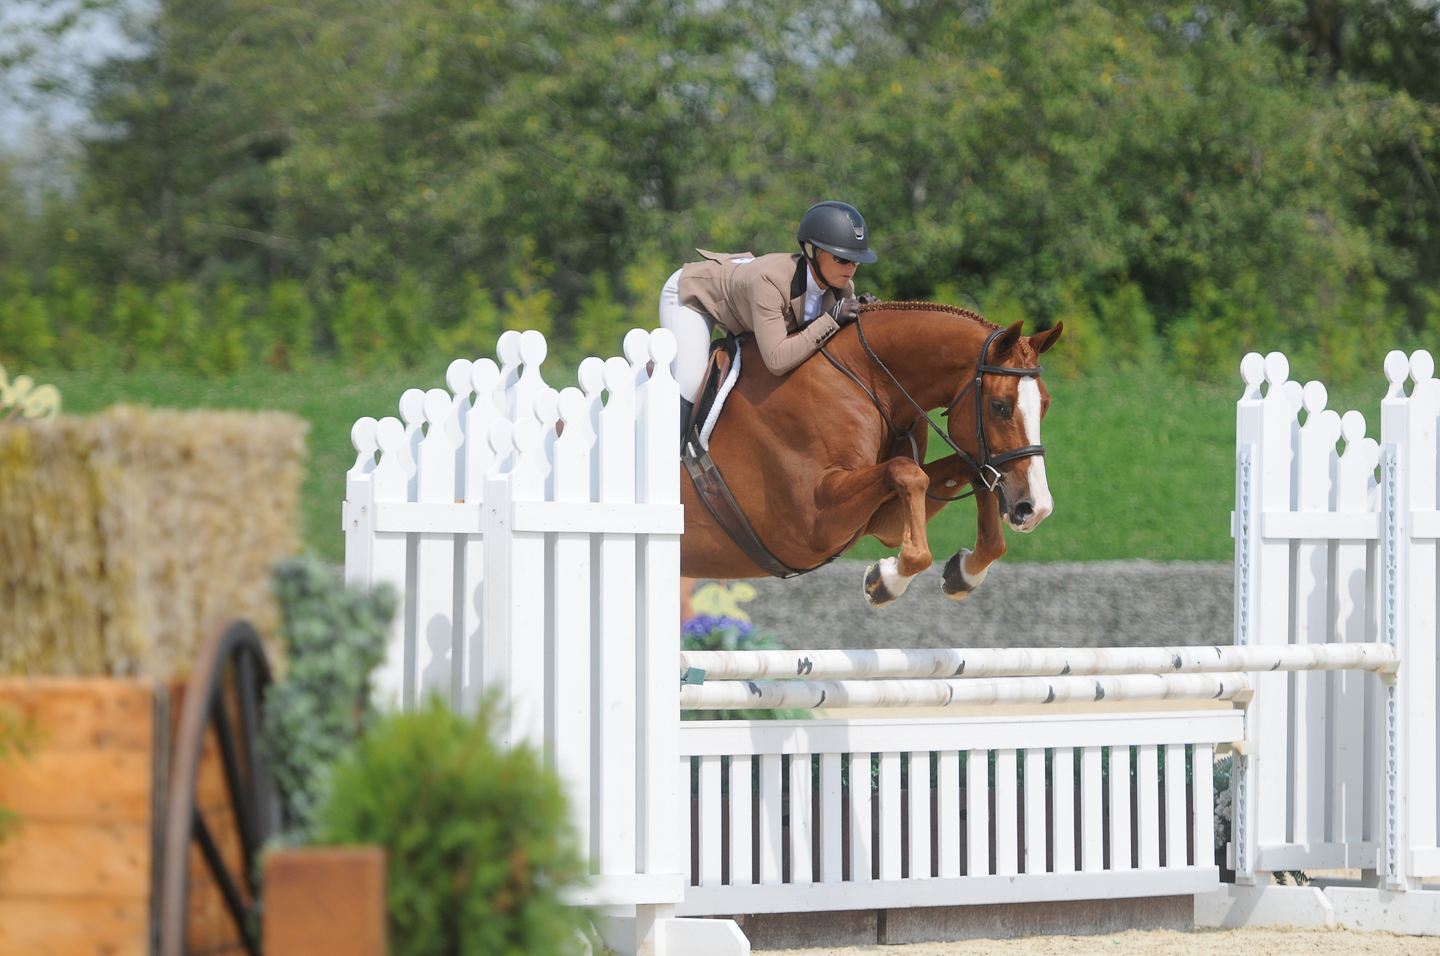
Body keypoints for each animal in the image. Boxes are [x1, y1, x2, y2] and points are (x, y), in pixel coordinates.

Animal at [678, 301, 1063, 606]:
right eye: (999, 405)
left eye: (1046, 405)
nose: (1036, 508)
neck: (864, 379)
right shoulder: (812, 524)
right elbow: (908, 472)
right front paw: (885, 581)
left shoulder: (880, 518)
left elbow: (962, 476)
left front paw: (962, 573)